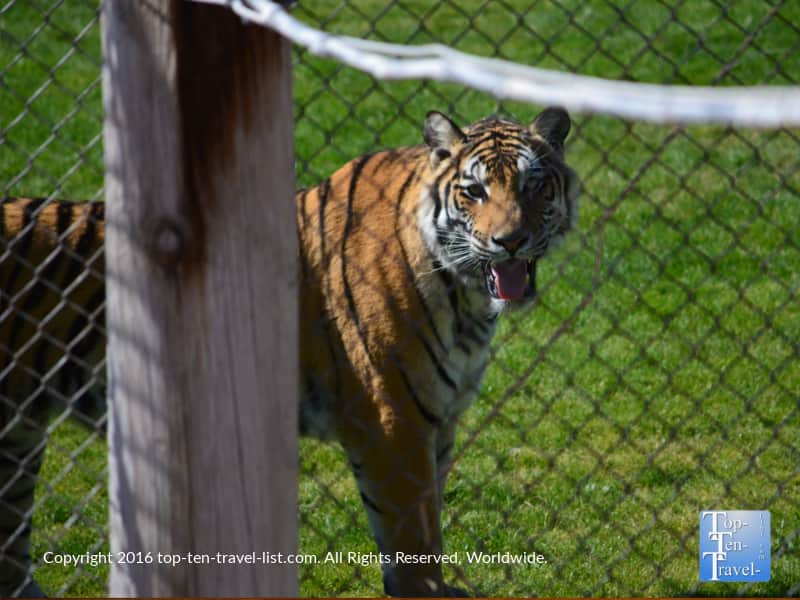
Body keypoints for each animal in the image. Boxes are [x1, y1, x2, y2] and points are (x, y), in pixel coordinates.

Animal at [1, 107, 579, 597]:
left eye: (532, 186)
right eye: (474, 191)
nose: (511, 240)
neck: (465, 295)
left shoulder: (441, 418)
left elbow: (430, 518)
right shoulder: (394, 419)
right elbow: (413, 536)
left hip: (18, 438)